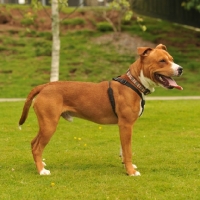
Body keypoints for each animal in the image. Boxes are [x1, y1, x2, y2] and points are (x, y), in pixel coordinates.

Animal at [18, 44, 183, 176]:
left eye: (172, 59)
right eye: (162, 61)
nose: (180, 69)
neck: (134, 83)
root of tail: (45, 86)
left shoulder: (125, 127)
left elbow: (123, 150)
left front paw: (126, 166)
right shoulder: (126, 125)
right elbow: (128, 151)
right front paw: (131, 172)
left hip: (45, 124)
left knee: (33, 143)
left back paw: (41, 164)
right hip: (49, 124)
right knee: (37, 147)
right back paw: (41, 171)